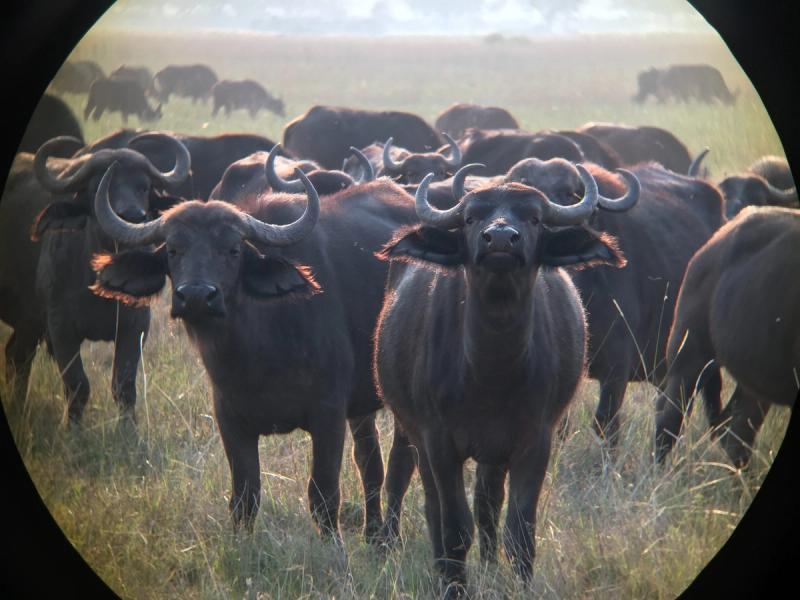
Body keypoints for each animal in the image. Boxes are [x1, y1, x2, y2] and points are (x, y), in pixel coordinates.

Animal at [0, 133, 190, 423]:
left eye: (144, 188)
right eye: (98, 188)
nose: (132, 216)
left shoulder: (135, 327)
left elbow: (124, 386)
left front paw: (128, 430)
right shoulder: (61, 329)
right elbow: (77, 385)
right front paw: (74, 429)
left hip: (28, 323)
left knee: (15, 356)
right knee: (18, 359)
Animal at [89, 163, 420, 545]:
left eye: (233, 250)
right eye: (172, 249)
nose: (197, 296)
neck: (255, 355)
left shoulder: (328, 414)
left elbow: (323, 494)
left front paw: (334, 547)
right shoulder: (230, 419)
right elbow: (245, 497)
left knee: (399, 464)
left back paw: (388, 538)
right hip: (362, 407)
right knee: (369, 461)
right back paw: (373, 534)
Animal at [373, 165, 636, 596]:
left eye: (534, 218)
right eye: (469, 218)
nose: (499, 239)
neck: (491, 372)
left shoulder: (535, 441)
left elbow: (519, 531)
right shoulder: (439, 442)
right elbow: (453, 527)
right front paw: (454, 586)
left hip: (493, 454)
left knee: (487, 503)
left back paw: (489, 562)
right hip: (410, 429)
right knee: (420, 491)